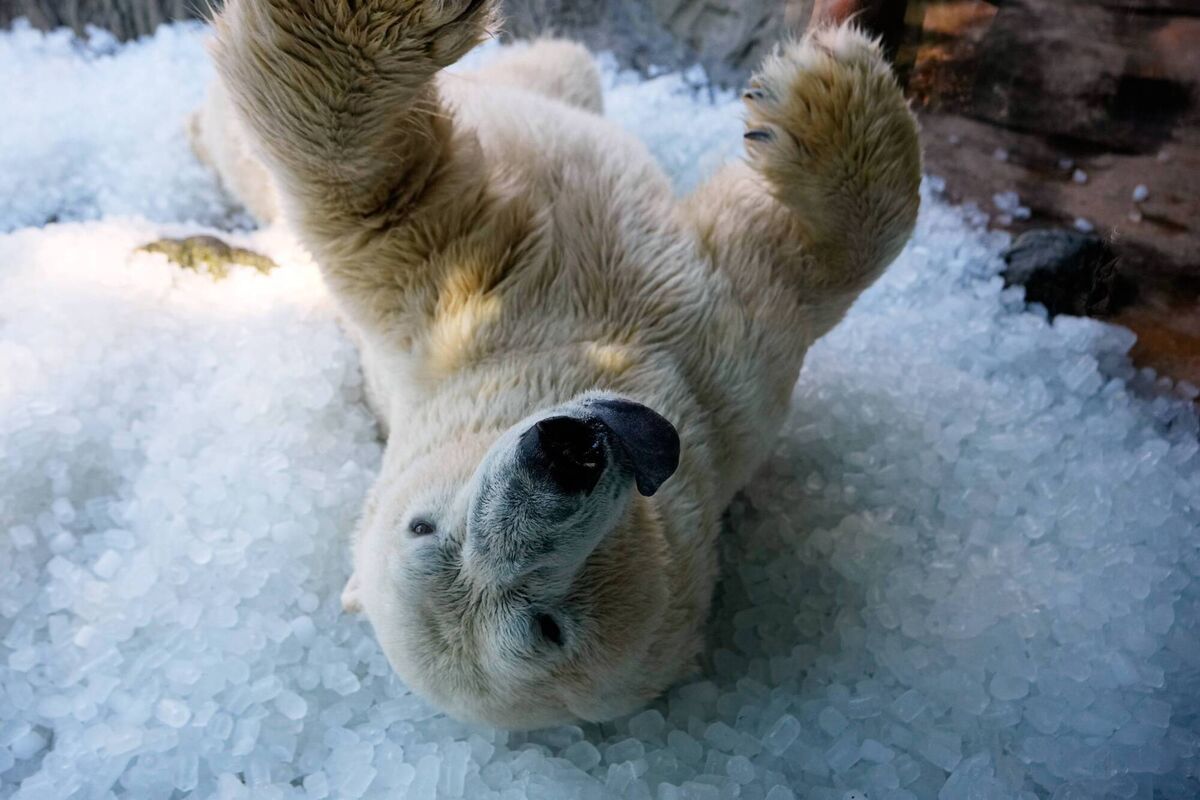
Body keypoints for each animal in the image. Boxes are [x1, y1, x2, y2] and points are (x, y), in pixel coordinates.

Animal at [205, 0, 921, 729]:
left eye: (424, 526)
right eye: (545, 627)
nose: (564, 453)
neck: (589, 348)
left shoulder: (711, 375)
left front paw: (822, 101)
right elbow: (374, 198)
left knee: (560, 66)